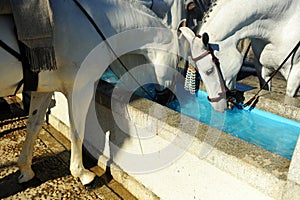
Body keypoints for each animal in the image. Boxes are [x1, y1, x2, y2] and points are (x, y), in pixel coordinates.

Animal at [0, 0, 179, 186]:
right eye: (180, 60)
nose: (170, 98)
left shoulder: (43, 89)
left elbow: (33, 126)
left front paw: (25, 169)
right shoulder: (81, 89)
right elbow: (77, 131)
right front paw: (81, 173)